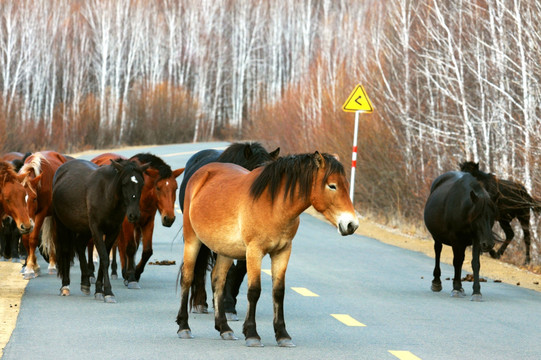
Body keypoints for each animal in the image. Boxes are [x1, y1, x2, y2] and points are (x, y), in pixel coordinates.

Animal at [18, 150, 71, 280]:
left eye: (34, 198)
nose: (28, 224)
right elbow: (26, 240)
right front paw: (34, 266)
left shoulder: (40, 214)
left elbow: (33, 239)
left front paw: (30, 269)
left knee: (54, 237)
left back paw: (52, 264)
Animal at [424, 172, 496, 300]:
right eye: (478, 215)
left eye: (492, 216)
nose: (488, 244)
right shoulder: (455, 239)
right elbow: (456, 261)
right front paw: (456, 288)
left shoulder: (477, 239)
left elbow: (475, 263)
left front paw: (476, 291)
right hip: (438, 237)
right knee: (438, 251)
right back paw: (437, 282)